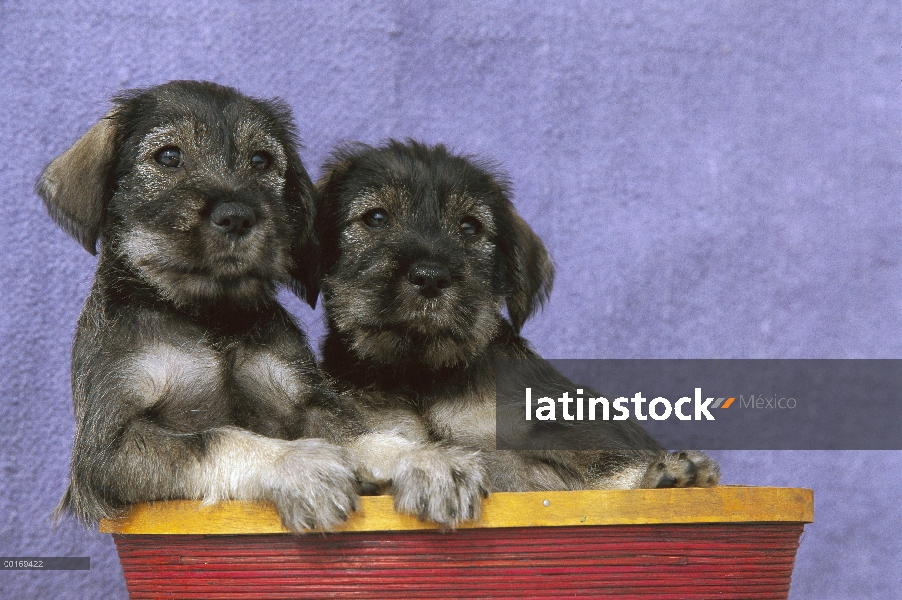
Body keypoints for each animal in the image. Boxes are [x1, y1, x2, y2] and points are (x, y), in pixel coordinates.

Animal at [38, 81, 364, 536]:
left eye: (261, 160)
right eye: (168, 156)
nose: (237, 216)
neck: (208, 317)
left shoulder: (305, 398)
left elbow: (353, 436)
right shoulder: (109, 447)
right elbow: (217, 439)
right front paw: (298, 463)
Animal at [310, 138, 720, 500]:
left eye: (470, 227)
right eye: (376, 217)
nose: (431, 276)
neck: (422, 380)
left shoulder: (566, 424)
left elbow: (608, 464)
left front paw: (667, 475)